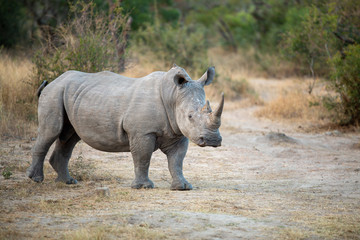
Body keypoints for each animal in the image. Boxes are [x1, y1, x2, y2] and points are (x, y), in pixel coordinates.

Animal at [28, 64, 224, 190]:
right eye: (190, 116)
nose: (213, 140)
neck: (173, 96)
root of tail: (53, 81)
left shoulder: (178, 132)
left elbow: (177, 160)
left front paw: (183, 186)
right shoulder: (142, 132)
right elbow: (143, 157)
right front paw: (143, 187)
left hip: (70, 96)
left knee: (69, 137)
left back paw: (68, 182)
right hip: (53, 94)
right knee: (50, 131)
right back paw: (36, 180)